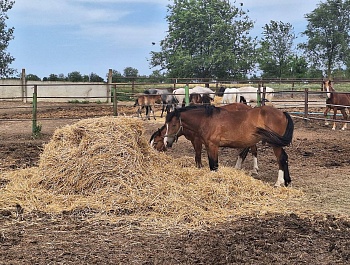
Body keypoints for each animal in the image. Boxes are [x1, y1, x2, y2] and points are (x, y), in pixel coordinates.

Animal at [163, 104, 292, 187]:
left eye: (174, 124)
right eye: (166, 124)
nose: (166, 142)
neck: (207, 120)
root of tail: (282, 113)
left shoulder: (213, 146)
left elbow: (213, 165)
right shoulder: (208, 146)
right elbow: (211, 164)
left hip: (275, 144)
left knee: (281, 159)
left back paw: (278, 183)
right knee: (284, 158)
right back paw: (287, 181)